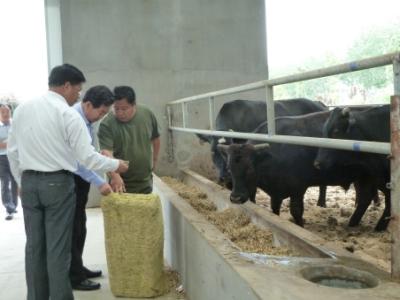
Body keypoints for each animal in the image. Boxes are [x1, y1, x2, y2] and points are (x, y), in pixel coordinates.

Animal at [219, 110, 378, 227]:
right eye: (229, 168)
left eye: (250, 169)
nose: (235, 198)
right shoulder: (276, 193)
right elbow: (274, 209)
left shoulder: (298, 188)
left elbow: (296, 211)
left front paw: (300, 225)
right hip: (363, 177)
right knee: (365, 198)